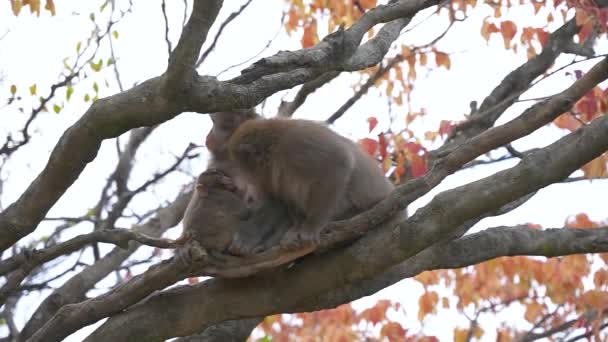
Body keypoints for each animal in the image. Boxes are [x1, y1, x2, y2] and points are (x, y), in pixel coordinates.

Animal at [207, 111, 392, 250]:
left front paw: (310, 228)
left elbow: (338, 162)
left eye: (243, 165)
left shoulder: (297, 143)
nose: (248, 178)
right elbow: (283, 196)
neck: (275, 150)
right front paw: (295, 231)